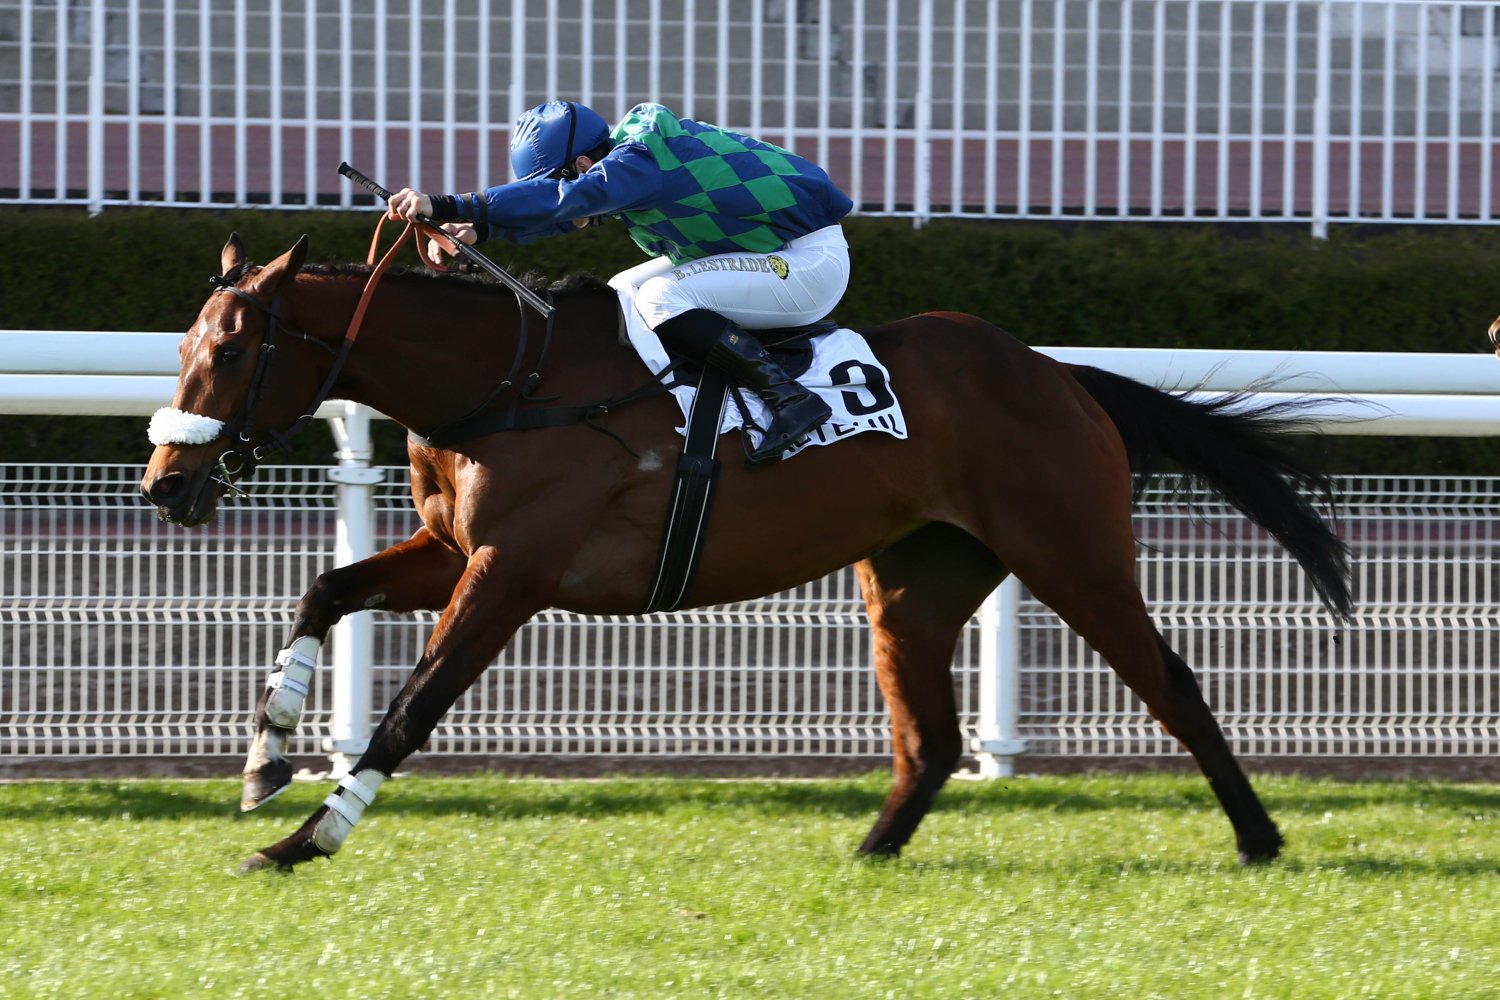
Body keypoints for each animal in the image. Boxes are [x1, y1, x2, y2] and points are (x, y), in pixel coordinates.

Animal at [141, 232, 1352, 873]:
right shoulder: (455, 548)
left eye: (234, 350)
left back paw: (1259, 838)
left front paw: (307, 838)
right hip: (914, 579)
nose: (164, 484)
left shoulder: (514, 572)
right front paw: (264, 759)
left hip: (1073, 552)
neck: (512, 379)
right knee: (931, 733)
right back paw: (871, 850)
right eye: (188, 343)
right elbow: (324, 588)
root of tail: (1063, 375)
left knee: (1173, 684)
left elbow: (412, 707)